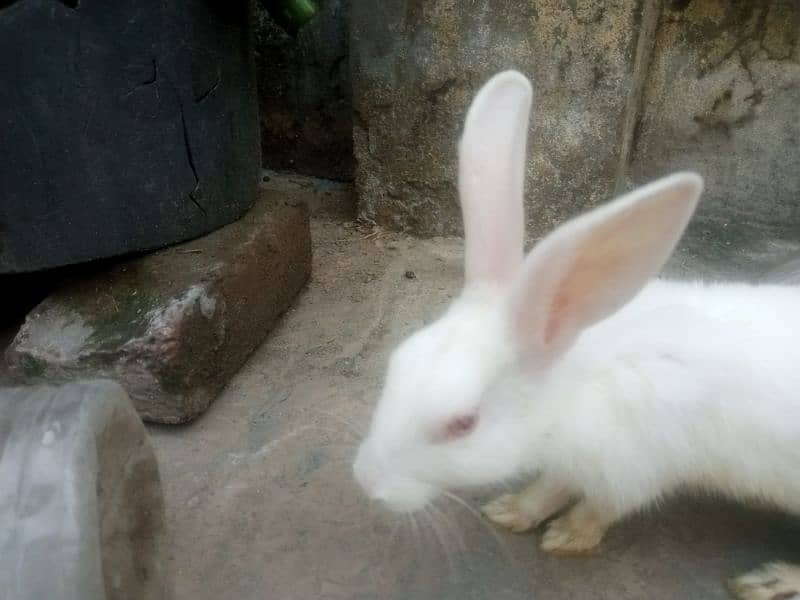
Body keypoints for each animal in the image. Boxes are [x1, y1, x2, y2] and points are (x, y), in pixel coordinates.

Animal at [354, 71, 800, 600]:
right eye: (395, 365)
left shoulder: (632, 469)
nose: (366, 481)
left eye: (464, 424)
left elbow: (600, 507)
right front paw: (512, 511)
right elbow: (552, 486)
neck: (571, 386)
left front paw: (565, 537)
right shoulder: (571, 459)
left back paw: (770, 580)